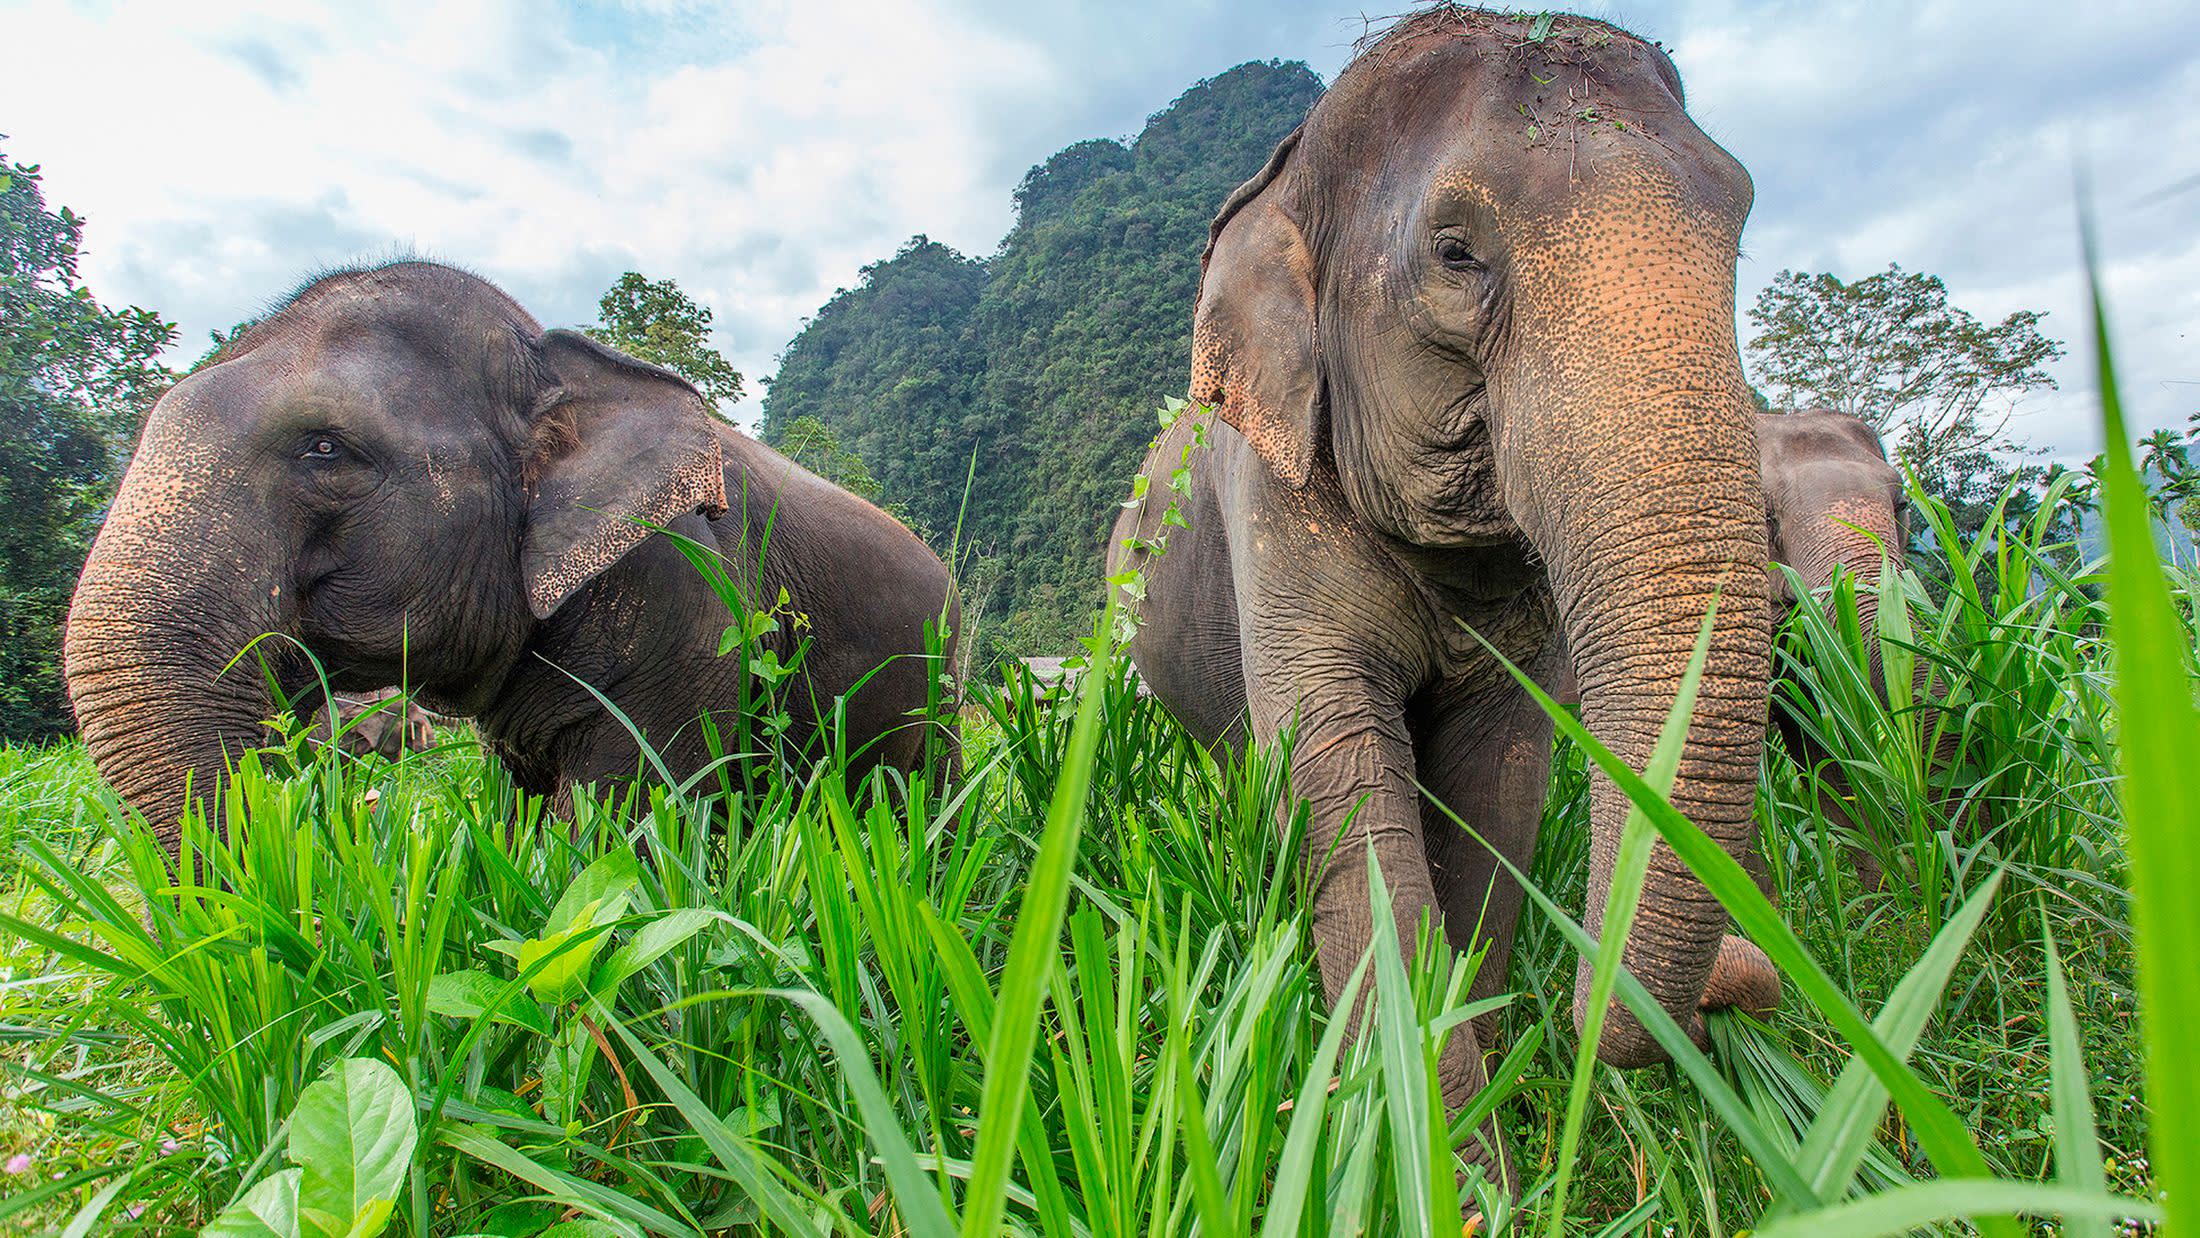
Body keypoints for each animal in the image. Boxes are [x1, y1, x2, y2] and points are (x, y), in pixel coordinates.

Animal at [1109, 10, 1780, 1191]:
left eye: (1738, 221)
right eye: (1456, 252)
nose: (1739, 983)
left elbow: (1499, 782)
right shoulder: (1274, 507)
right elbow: (1339, 785)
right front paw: (1446, 1172)